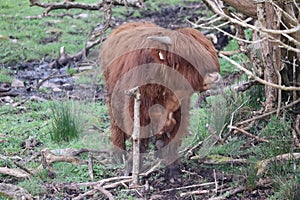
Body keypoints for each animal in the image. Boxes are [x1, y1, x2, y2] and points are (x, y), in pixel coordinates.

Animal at [101, 21, 220, 180]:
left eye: (211, 54)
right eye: (188, 59)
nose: (215, 77)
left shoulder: (180, 109)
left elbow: (173, 136)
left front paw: (173, 169)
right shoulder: (136, 108)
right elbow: (138, 138)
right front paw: (132, 169)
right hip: (112, 96)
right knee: (116, 124)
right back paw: (118, 155)